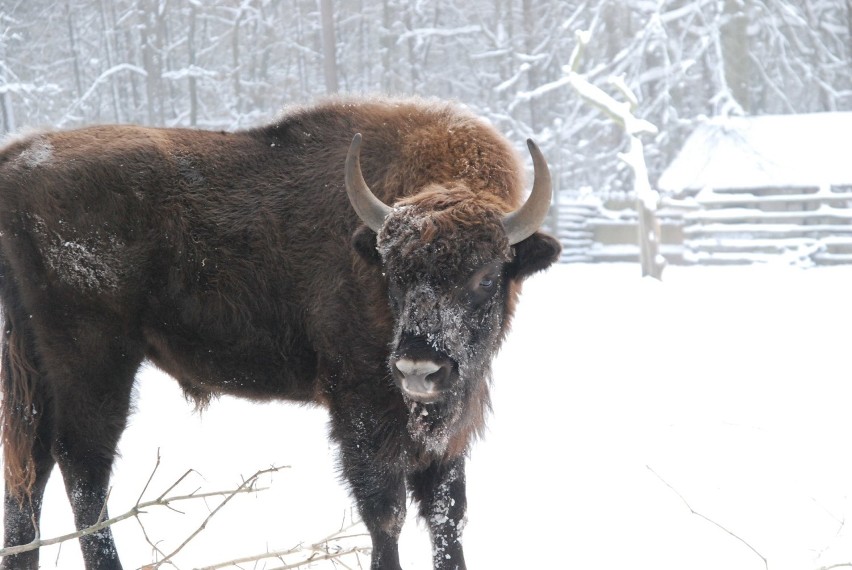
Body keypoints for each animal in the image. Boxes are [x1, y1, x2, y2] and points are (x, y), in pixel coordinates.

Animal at [0, 95, 564, 564]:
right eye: (392, 272)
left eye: (487, 276)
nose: (419, 369)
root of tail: (16, 161)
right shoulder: (362, 411)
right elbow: (386, 516)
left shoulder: (449, 430)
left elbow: (447, 518)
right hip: (95, 361)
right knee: (83, 469)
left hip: (36, 368)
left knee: (30, 471)